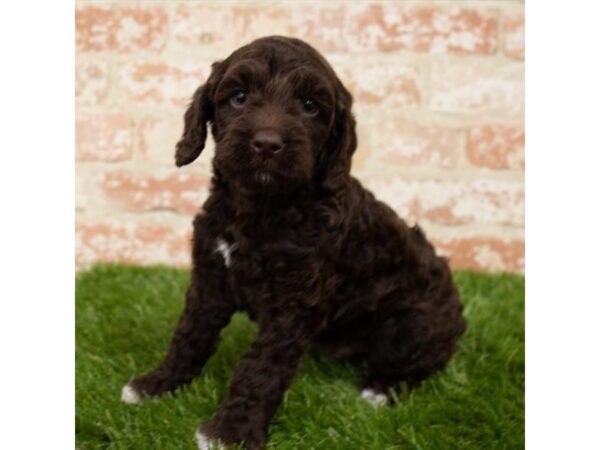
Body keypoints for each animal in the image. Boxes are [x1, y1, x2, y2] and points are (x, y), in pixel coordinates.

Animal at [122, 36, 466, 450]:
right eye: (239, 97)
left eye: (310, 105)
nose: (267, 144)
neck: (261, 208)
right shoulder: (209, 278)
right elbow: (189, 334)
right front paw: (157, 385)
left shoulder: (294, 306)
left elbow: (261, 369)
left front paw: (231, 432)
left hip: (410, 325)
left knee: (422, 364)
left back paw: (381, 389)